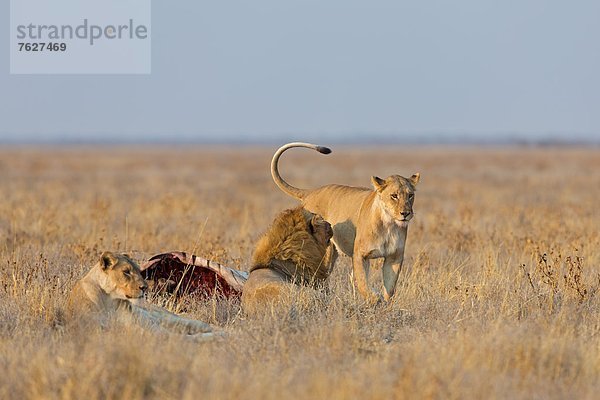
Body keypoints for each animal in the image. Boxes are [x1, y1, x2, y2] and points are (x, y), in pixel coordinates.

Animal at [67, 252, 217, 340]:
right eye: (126, 272)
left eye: (139, 271)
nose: (145, 287)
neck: (110, 300)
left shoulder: (145, 326)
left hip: (164, 316)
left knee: (200, 324)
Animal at [270, 142, 420, 302]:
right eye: (394, 196)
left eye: (410, 195)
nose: (405, 213)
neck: (389, 225)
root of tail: (312, 192)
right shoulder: (360, 255)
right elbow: (363, 283)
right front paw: (373, 299)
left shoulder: (394, 257)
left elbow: (389, 288)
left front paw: (384, 304)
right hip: (326, 252)